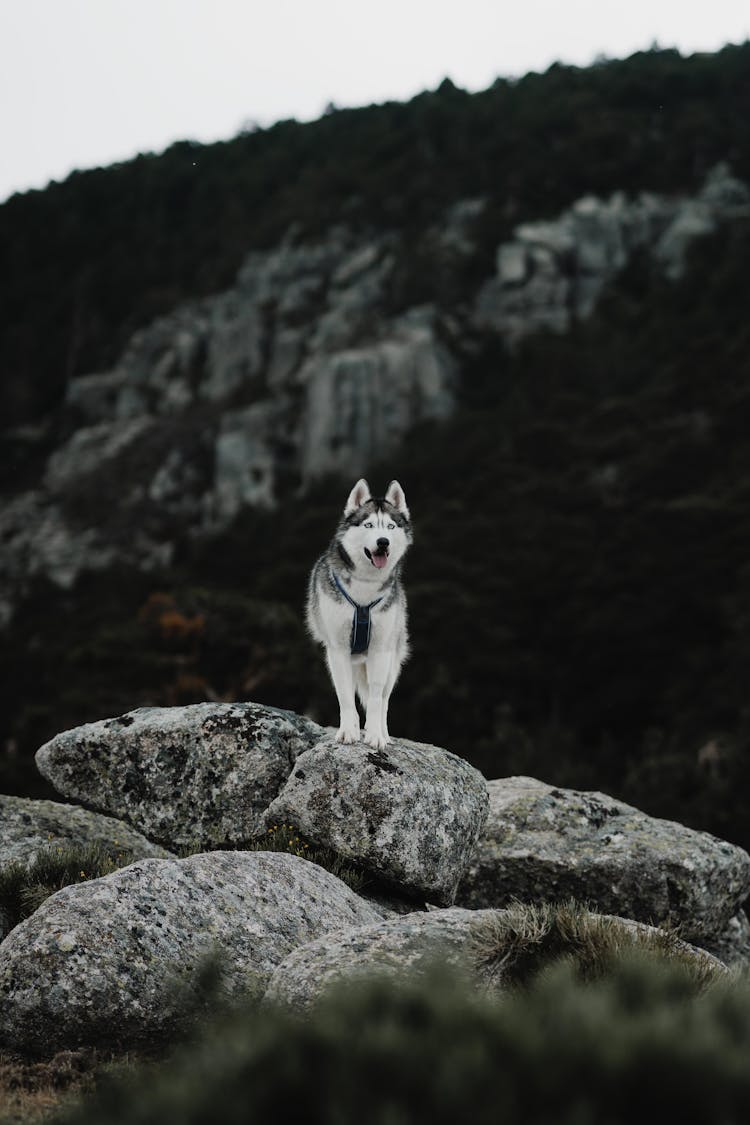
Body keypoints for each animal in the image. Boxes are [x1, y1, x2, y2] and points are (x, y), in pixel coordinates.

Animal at [305, 474, 411, 747]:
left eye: (390, 527)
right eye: (369, 525)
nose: (383, 542)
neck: (365, 586)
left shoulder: (380, 650)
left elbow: (375, 699)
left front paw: (374, 736)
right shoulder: (337, 650)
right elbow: (345, 697)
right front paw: (348, 732)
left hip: (392, 659)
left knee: (384, 700)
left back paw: (384, 732)